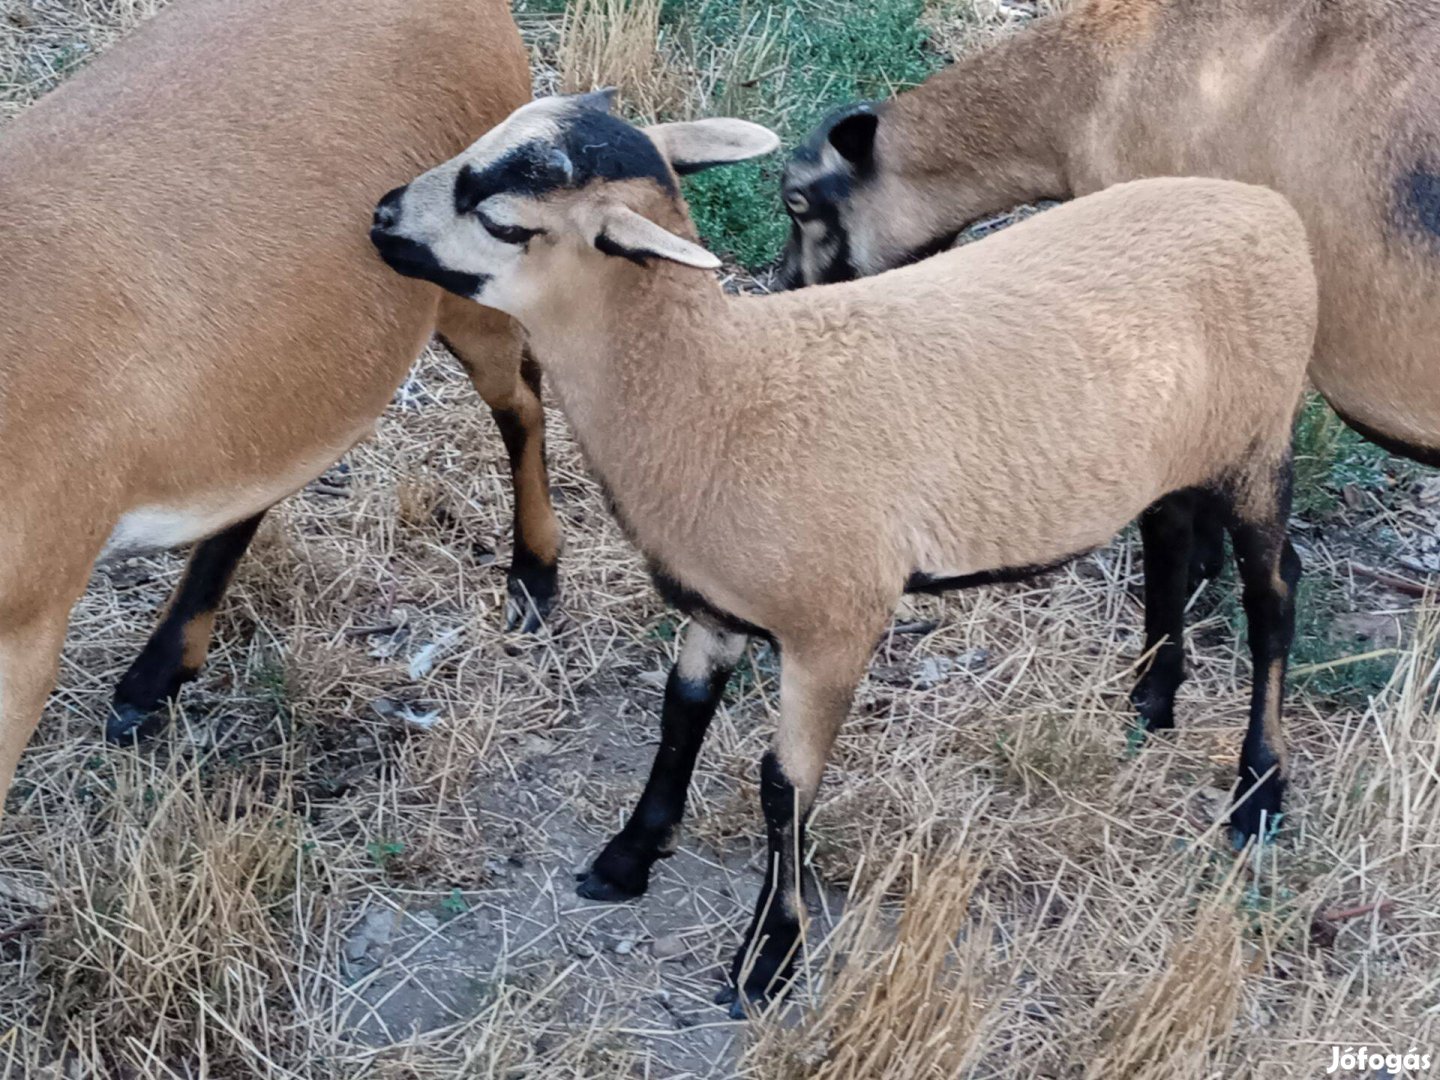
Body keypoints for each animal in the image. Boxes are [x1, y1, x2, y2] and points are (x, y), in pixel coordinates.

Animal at [371, 95, 1319, 1025]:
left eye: (502, 221)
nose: (380, 216)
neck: (714, 394)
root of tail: (1266, 209)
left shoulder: (834, 625)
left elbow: (783, 786)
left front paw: (768, 958)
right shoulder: (717, 604)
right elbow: (680, 717)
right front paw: (627, 857)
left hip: (1259, 440)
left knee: (1274, 595)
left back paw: (1258, 791)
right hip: (1176, 448)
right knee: (1169, 537)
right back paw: (1151, 701)